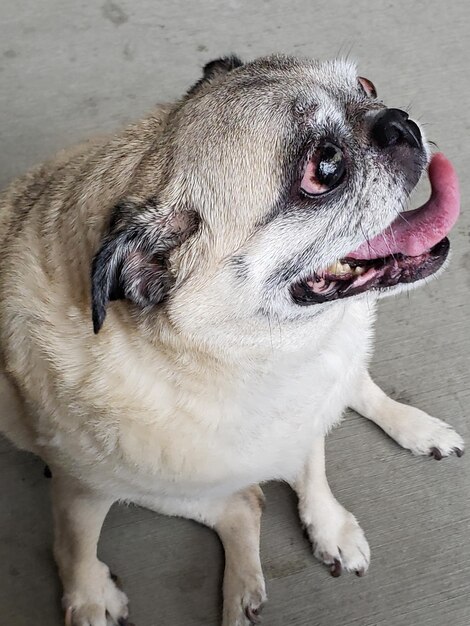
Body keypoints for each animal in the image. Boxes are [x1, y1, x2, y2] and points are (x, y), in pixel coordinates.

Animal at [0, 54, 462, 624]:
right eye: (324, 168)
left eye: (367, 86)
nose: (399, 121)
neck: (263, 356)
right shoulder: (84, 489)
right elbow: (74, 542)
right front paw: (88, 596)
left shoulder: (309, 410)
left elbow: (315, 467)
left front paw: (327, 523)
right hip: (160, 488)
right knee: (245, 502)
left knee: (356, 391)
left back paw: (418, 428)